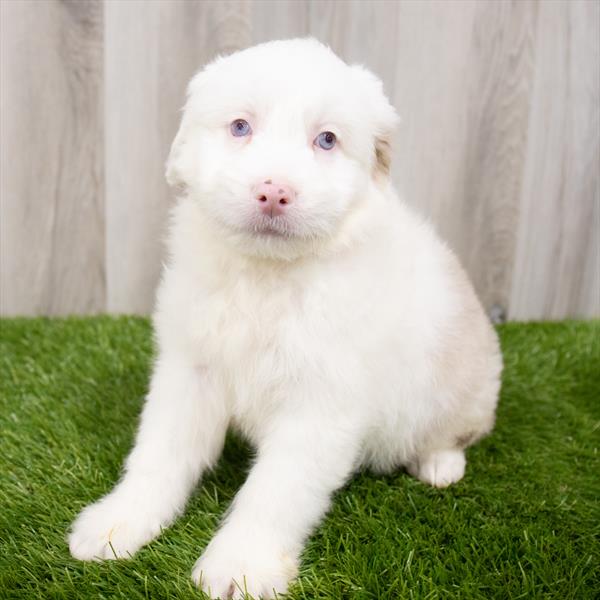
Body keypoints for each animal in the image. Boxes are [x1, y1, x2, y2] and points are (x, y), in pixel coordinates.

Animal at [69, 38, 502, 600]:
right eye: (240, 127)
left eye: (327, 140)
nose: (274, 192)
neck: (267, 277)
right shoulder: (189, 371)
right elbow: (158, 455)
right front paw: (117, 523)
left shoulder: (319, 405)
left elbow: (274, 492)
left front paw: (239, 566)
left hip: (470, 389)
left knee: (455, 433)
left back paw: (439, 464)